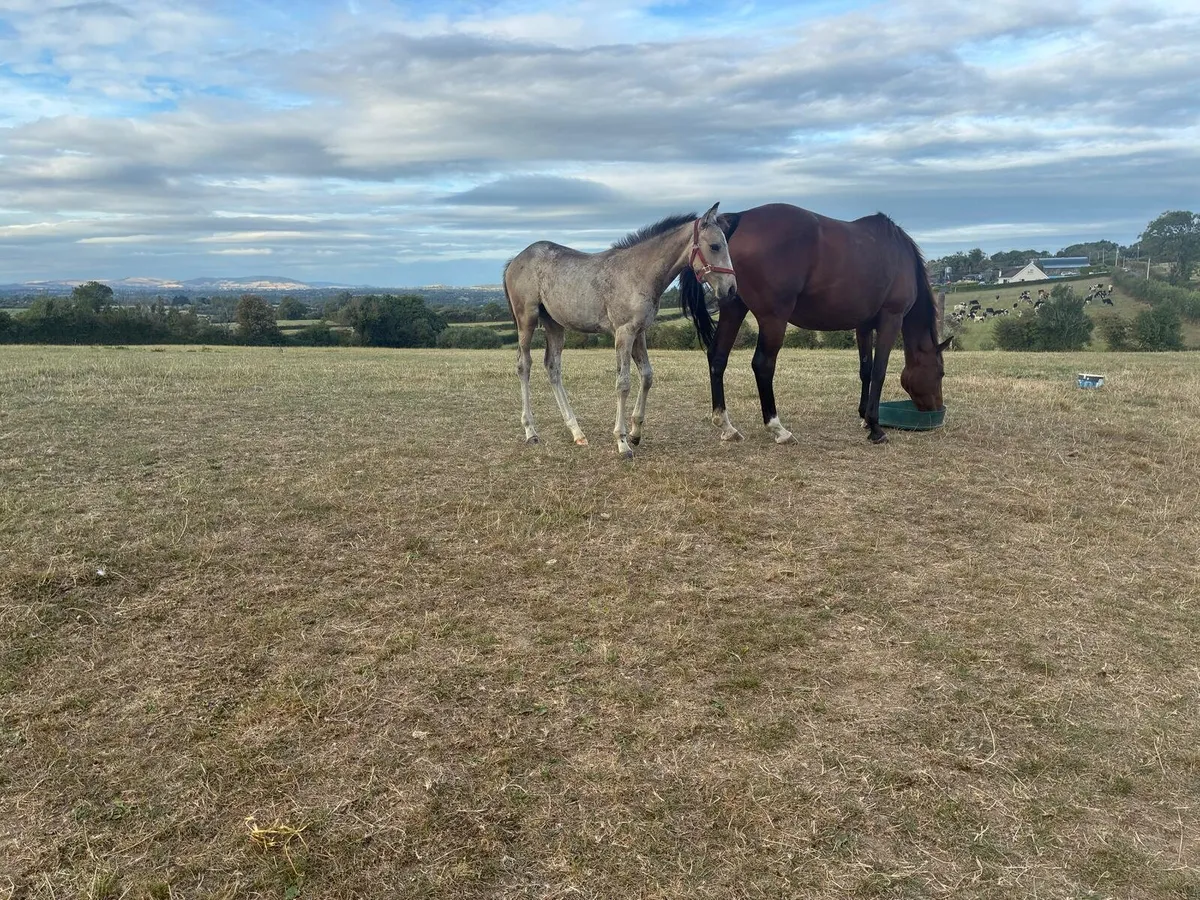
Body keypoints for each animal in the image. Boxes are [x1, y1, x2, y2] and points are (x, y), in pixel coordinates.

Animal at [504, 203, 737, 457]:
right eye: (715, 246)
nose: (731, 289)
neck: (638, 272)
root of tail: (515, 260)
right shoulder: (624, 332)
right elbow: (623, 383)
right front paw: (622, 442)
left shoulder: (640, 332)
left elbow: (647, 376)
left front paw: (635, 433)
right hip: (527, 319)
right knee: (523, 365)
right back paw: (531, 431)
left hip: (554, 324)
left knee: (553, 367)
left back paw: (577, 433)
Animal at [679, 203, 948, 444]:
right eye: (941, 372)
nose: (936, 409)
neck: (899, 253)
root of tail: (741, 217)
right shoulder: (891, 320)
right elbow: (879, 372)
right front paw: (875, 427)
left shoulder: (862, 326)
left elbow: (866, 370)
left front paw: (864, 417)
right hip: (773, 318)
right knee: (763, 365)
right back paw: (778, 429)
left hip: (732, 308)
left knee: (717, 358)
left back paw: (726, 426)